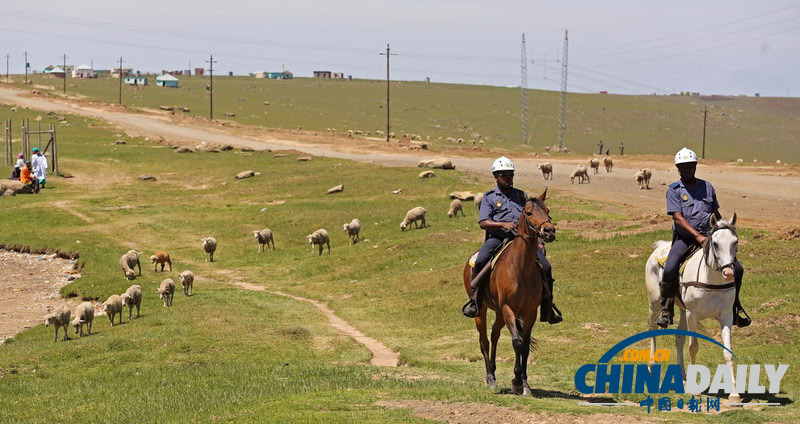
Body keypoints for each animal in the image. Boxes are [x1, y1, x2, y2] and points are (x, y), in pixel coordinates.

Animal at [462, 189, 556, 394]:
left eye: (547, 210)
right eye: (528, 213)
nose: (549, 231)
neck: (521, 268)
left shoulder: (530, 312)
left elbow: (525, 345)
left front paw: (523, 383)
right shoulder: (508, 309)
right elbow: (517, 342)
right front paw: (518, 380)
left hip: (499, 312)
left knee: (494, 334)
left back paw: (495, 370)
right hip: (481, 311)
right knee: (484, 340)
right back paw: (490, 377)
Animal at [648, 215, 740, 400]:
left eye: (735, 242)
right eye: (715, 243)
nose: (728, 273)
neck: (712, 280)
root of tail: (659, 246)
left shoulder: (726, 316)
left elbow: (728, 351)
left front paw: (734, 393)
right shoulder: (693, 314)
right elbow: (693, 347)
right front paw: (694, 388)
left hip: (683, 311)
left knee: (679, 338)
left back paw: (683, 378)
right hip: (655, 303)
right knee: (652, 327)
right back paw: (652, 366)